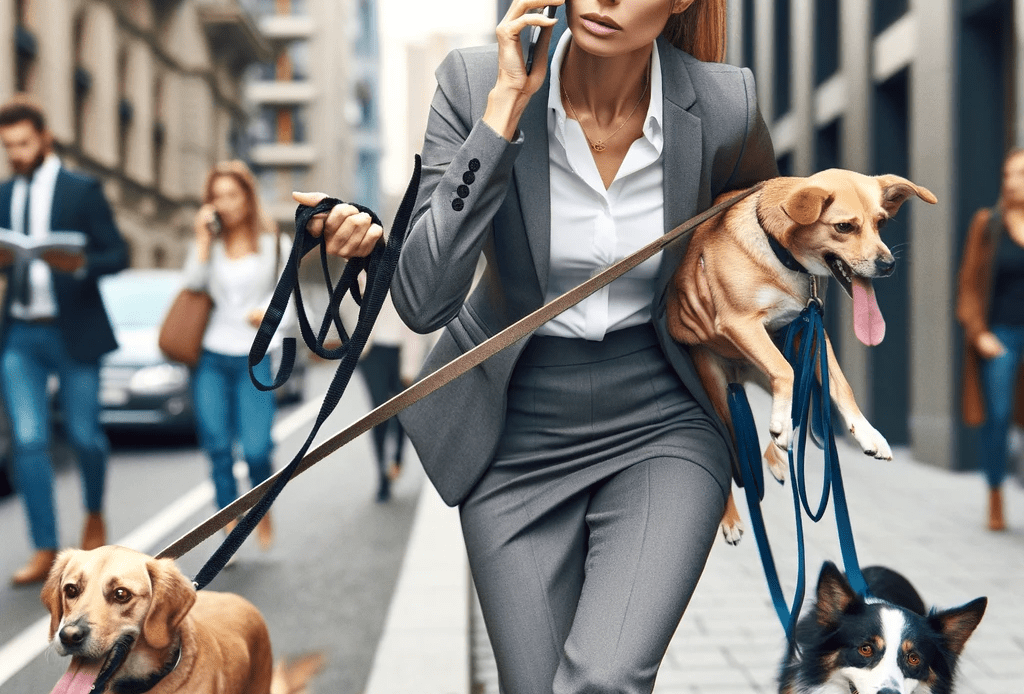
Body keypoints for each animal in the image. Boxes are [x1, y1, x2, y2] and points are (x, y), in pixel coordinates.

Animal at [667, 168, 937, 544]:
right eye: (844, 227)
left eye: (881, 222)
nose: (888, 265)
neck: (781, 253)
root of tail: (739, 372)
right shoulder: (740, 323)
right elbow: (784, 373)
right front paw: (781, 426)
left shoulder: (811, 332)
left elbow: (841, 387)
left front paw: (868, 434)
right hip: (718, 390)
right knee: (732, 444)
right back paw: (731, 514)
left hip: (781, 361)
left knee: (794, 400)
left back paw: (777, 453)